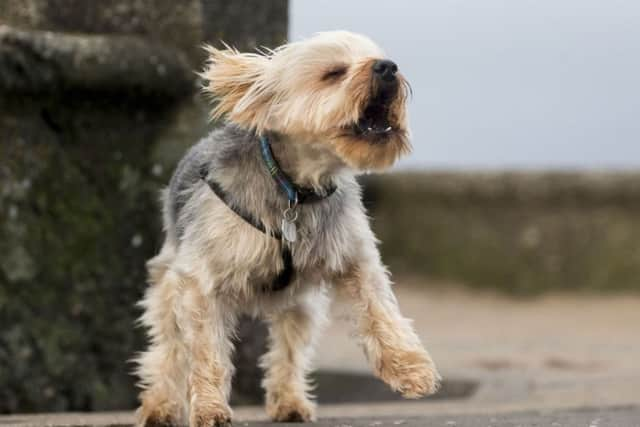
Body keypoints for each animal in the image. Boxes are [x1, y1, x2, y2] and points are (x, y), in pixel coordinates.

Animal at [136, 30, 440, 427]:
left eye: (381, 59)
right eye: (334, 73)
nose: (388, 67)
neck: (296, 187)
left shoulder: (352, 259)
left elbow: (380, 311)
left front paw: (410, 369)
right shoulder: (202, 282)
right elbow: (206, 350)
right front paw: (209, 409)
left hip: (300, 305)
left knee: (290, 348)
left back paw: (290, 401)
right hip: (168, 283)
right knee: (168, 347)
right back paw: (159, 406)